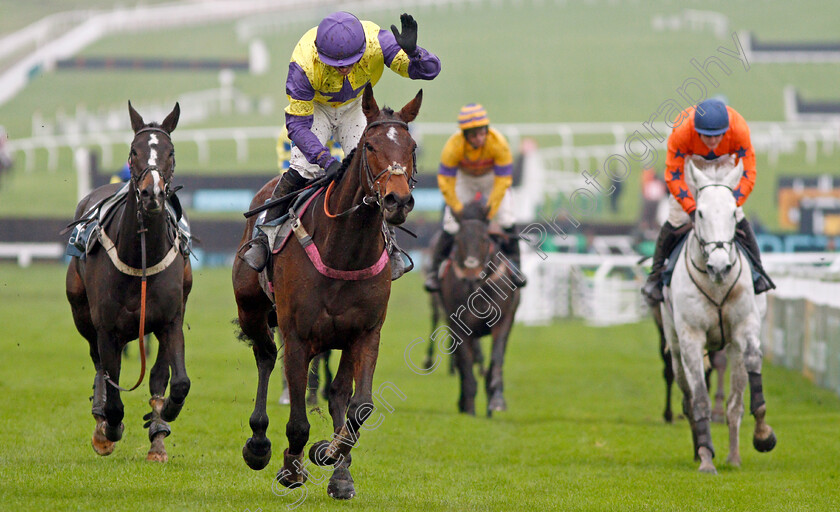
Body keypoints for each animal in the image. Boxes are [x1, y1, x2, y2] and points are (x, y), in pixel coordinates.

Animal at [65, 102, 190, 462]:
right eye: (134, 151)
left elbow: (177, 382)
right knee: (99, 365)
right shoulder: (106, 327)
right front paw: (108, 429)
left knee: (158, 374)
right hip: (82, 313)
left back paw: (157, 433)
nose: (152, 193)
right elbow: (113, 390)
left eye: (170, 152)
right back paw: (101, 419)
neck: (140, 256)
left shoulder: (170, 319)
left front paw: (163, 417)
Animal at [233, 85, 420, 500]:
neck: (345, 250)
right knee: (265, 357)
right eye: (370, 146)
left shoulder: (364, 333)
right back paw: (258, 443)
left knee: (336, 394)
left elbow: (358, 406)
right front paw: (291, 467)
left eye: (412, 146)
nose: (397, 201)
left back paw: (339, 471)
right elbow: (299, 420)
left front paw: (331, 456)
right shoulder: (298, 335)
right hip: (252, 309)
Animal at [436, 199, 520, 416]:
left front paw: (496, 399)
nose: (471, 272)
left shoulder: (504, 320)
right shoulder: (458, 325)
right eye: (458, 240)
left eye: (484, 239)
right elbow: (466, 365)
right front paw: (469, 409)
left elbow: (497, 358)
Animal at [660, 156, 776, 472]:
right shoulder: (690, 338)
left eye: (733, 213)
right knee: (686, 395)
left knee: (733, 399)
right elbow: (699, 398)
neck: (717, 285)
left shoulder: (745, 328)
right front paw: (705, 459)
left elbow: (744, 393)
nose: (720, 266)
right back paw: (699, 448)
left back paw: (731, 454)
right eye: (699, 213)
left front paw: (761, 437)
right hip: (673, 344)